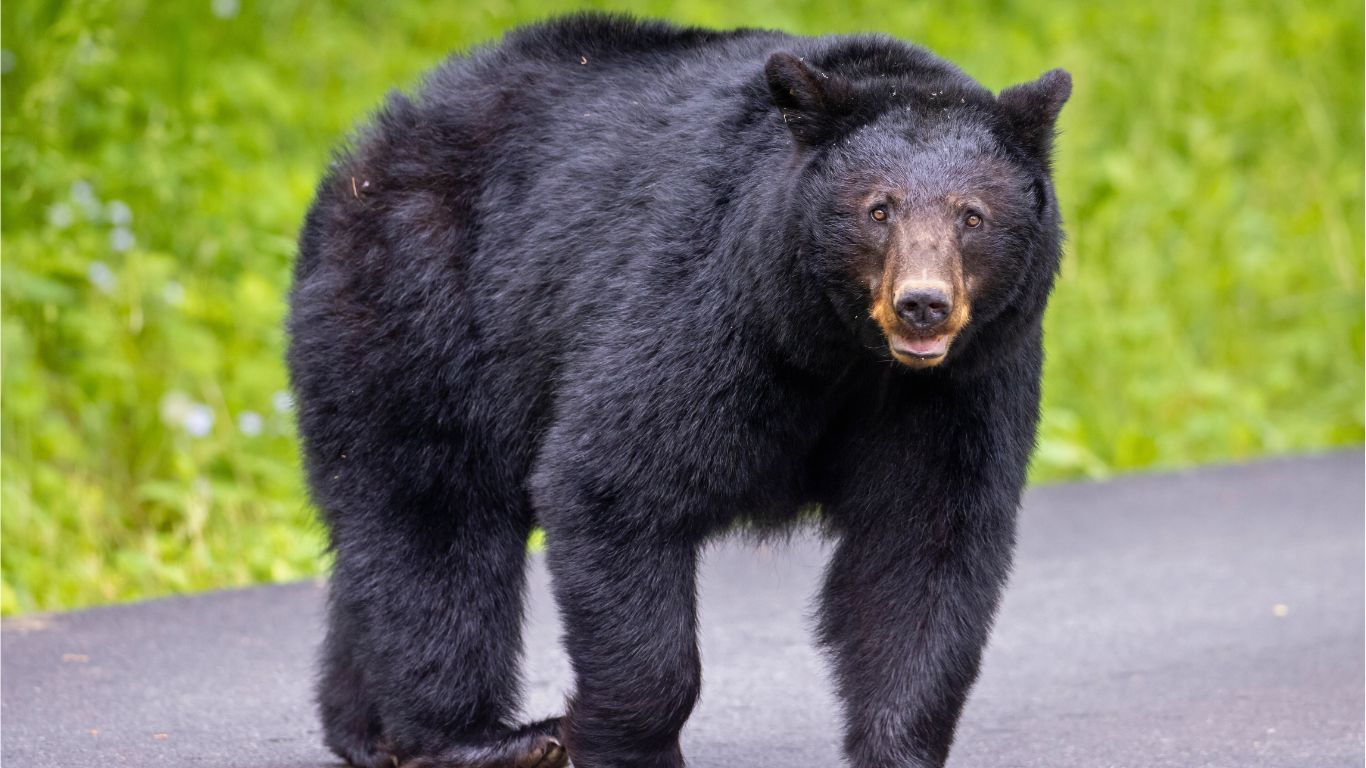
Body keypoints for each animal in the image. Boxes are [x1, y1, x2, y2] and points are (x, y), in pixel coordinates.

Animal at [287, 13, 1069, 768]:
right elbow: (615, 481)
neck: (842, 352)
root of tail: (373, 144)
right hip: (425, 302)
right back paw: (476, 738)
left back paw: (368, 732)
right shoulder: (711, 310)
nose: (922, 304)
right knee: (433, 513)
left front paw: (898, 746)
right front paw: (624, 742)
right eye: (880, 209)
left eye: (973, 215)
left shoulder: (959, 386)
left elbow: (924, 545)